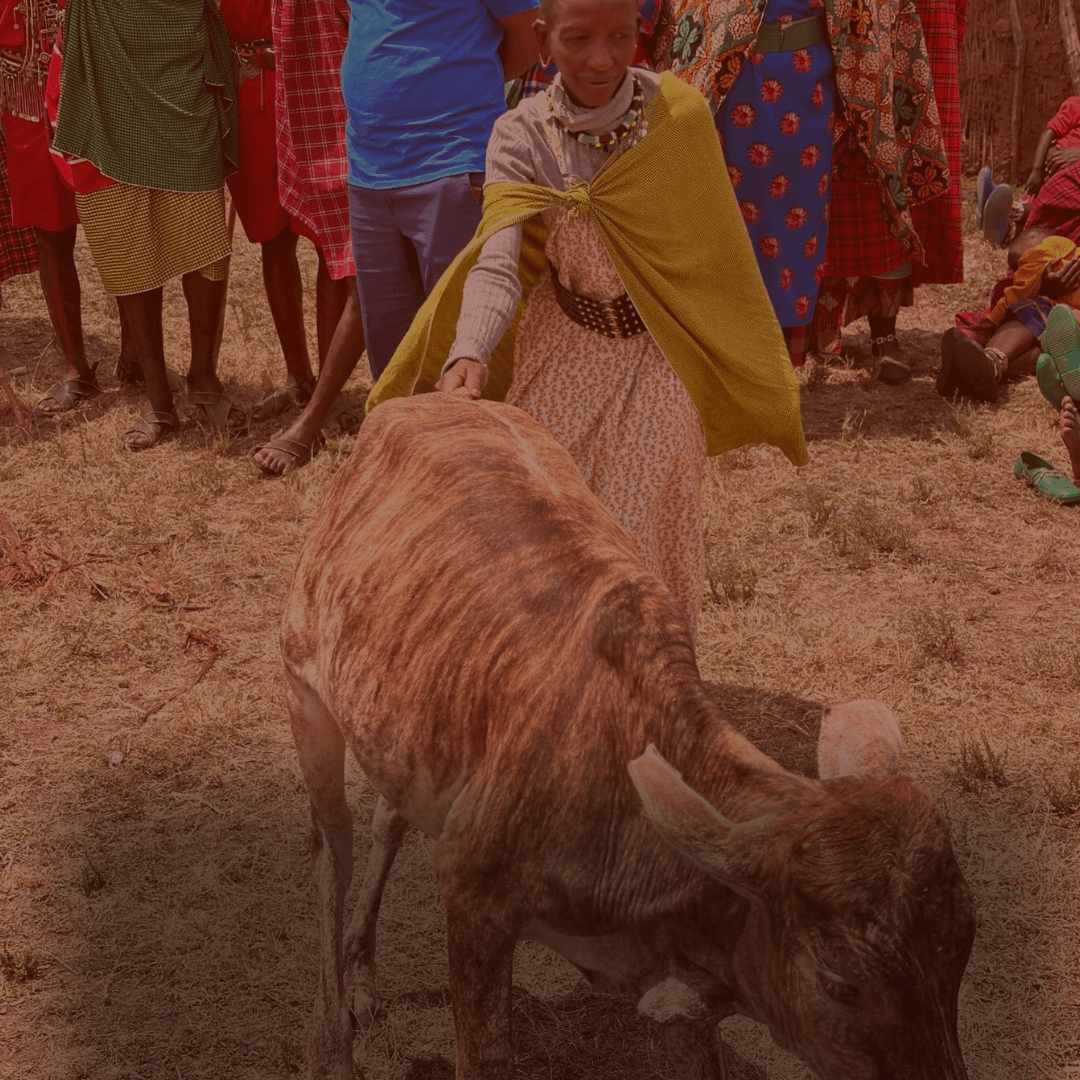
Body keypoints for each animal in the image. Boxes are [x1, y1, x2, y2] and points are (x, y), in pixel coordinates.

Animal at [281, 393, 976, 1080]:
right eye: (837, 981)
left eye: (963, 944)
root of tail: (421, 400)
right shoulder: (472, 892)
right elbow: (484, 1052)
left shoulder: (691, 990)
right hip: (303, 684)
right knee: (332, 849)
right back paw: (330, 1043)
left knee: (388, 818)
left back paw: (362, 977)